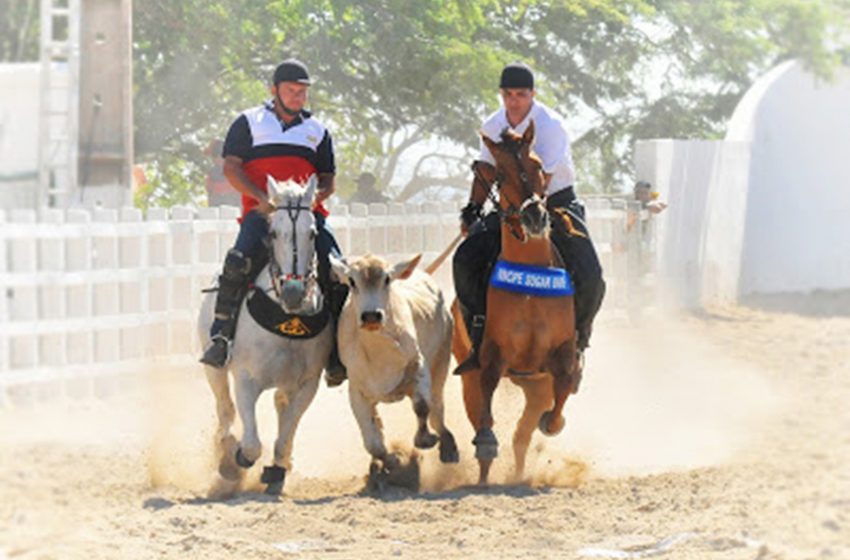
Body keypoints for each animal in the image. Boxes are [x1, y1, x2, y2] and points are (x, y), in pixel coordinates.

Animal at [196, 177, 332, 496]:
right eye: (273, 232)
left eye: (312, 232)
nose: (294, 292)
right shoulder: (245, 379)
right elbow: (251, 444)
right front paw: (233, 461)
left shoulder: (307, 385)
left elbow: (285, 436)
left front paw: (277, 471)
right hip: (214, 370)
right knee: (225, 410)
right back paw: (224, 448)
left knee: (280, 408)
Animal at [450, 122, 584, 486]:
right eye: (500, 174)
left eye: (537, 165)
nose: (535, 217)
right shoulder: (492, 356)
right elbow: (487, 409)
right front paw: (486, 445)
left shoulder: (560, 356)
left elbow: (560, 394)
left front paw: (553, 423)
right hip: (469, 373)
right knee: (482, 418)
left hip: (535, 383)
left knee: (521, 436)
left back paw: (521, 473)